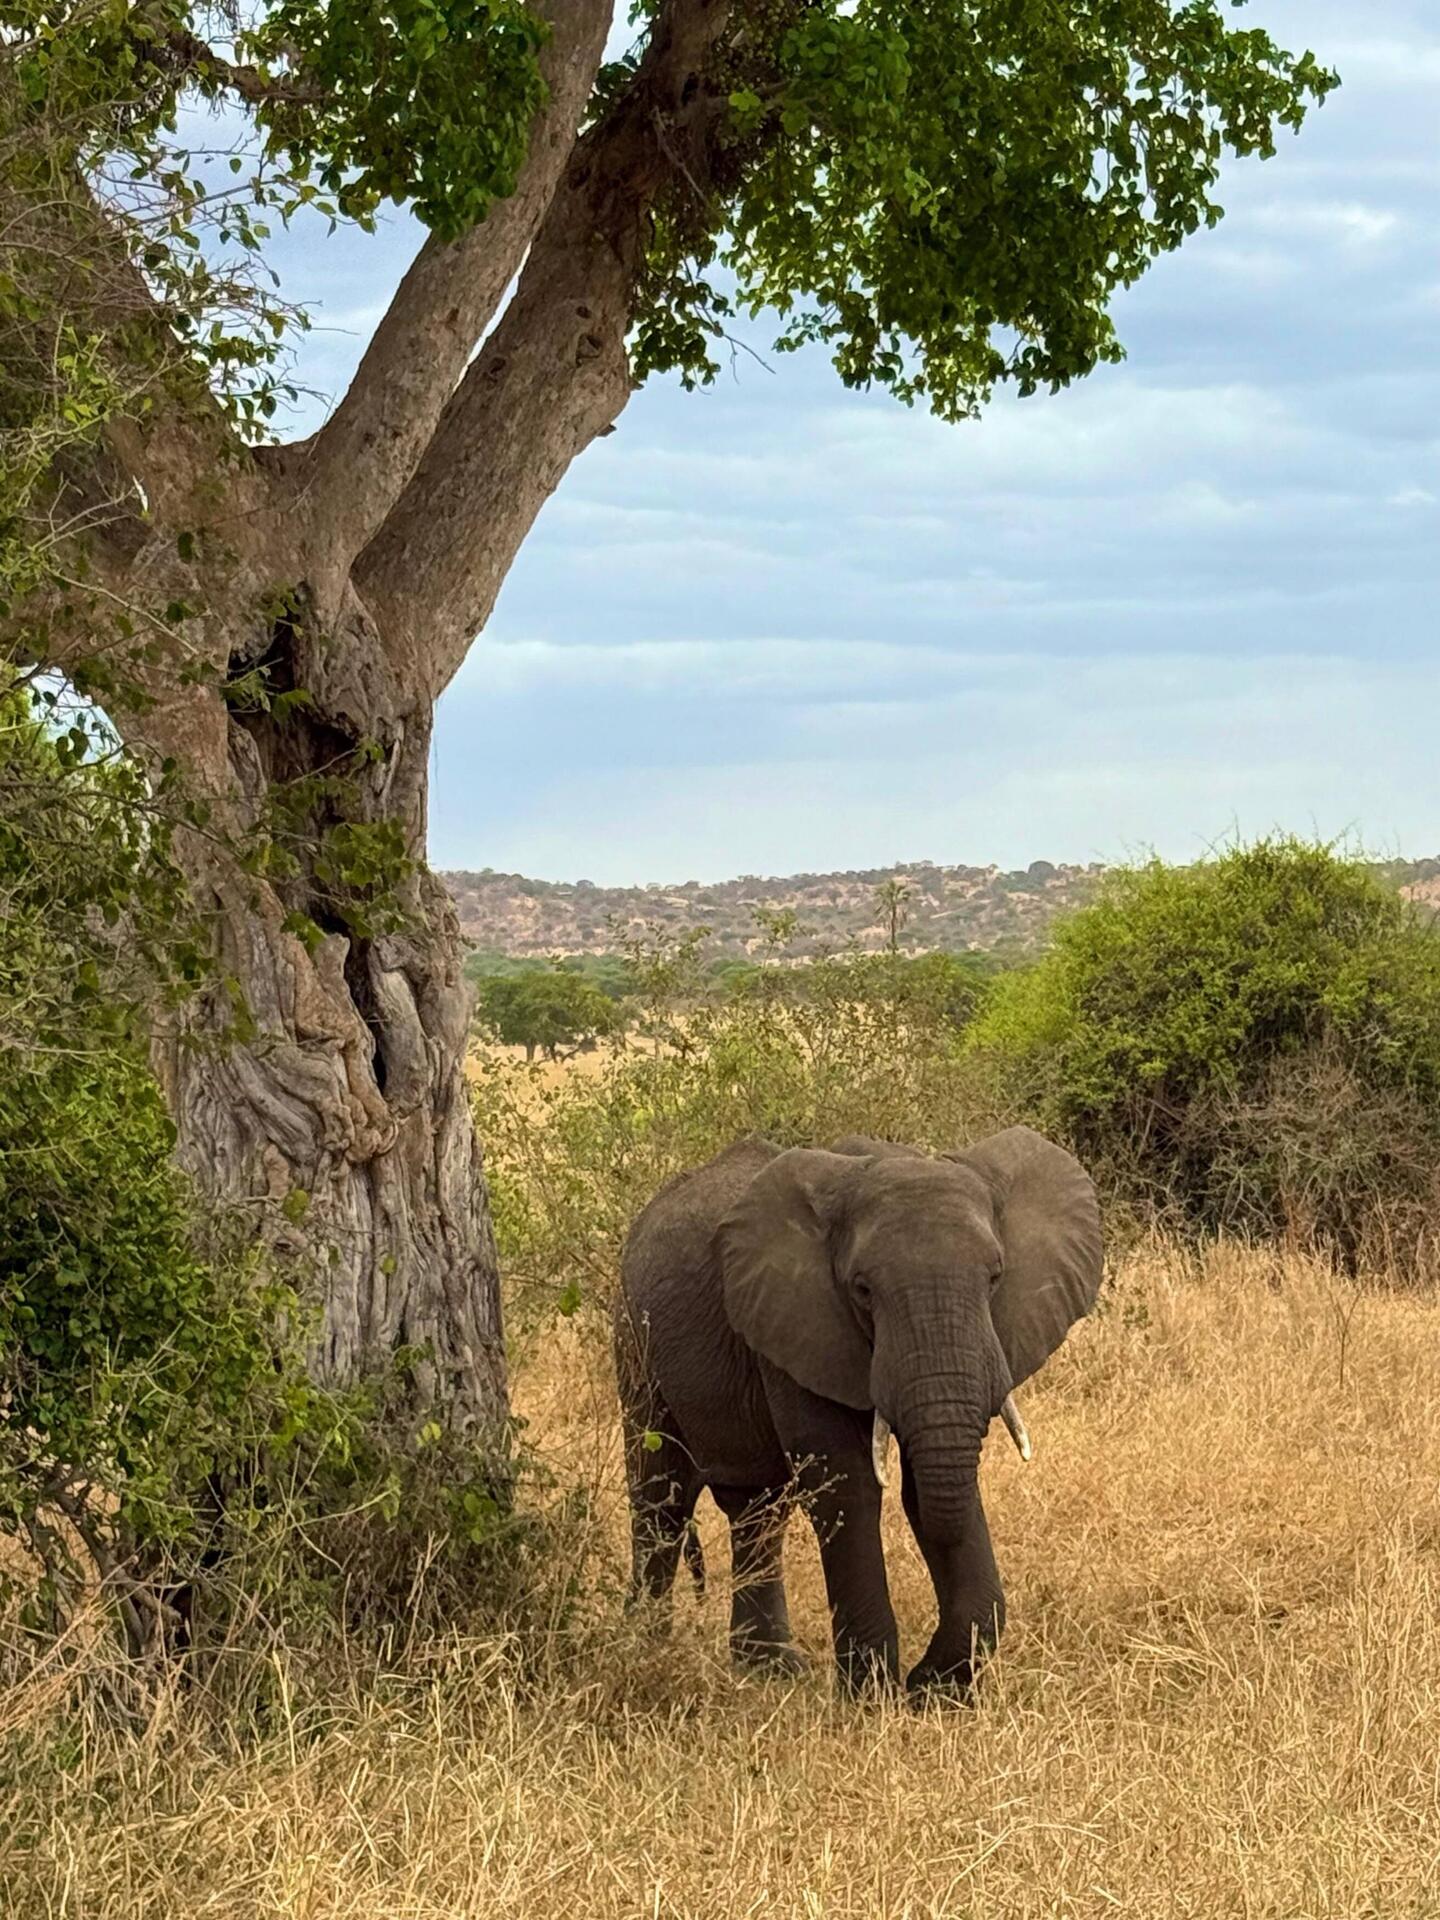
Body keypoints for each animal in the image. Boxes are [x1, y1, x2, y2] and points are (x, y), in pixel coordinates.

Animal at [612, 1127, 1102, 1698]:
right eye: (863, 1291)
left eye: (996, 1277)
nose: (920, 1679)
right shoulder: (798, 1319)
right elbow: (847, 1482)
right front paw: (873, 1693)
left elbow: (926, 1483)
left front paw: (935, 1691)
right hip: (633, 1333)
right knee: (661, 1496)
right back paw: (646, 1649)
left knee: (757, 1506)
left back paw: (770, 1669)